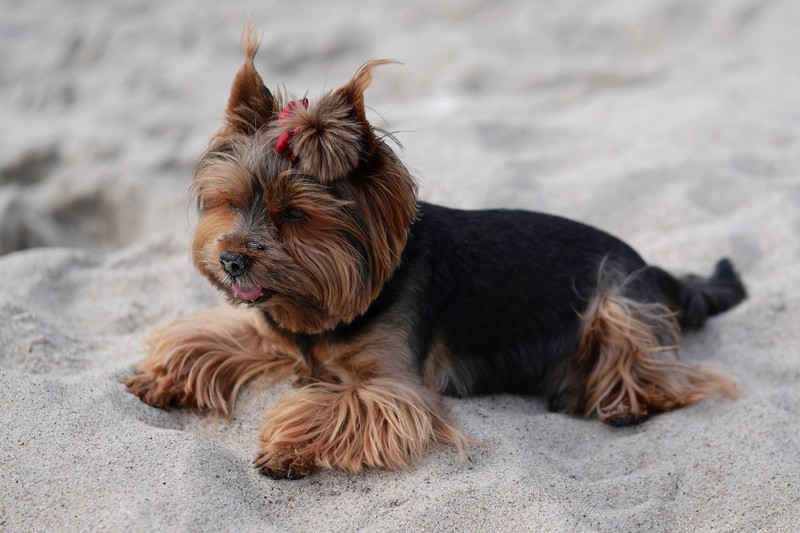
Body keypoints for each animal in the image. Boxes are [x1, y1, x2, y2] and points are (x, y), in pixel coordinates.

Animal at [123, 27, 744, 480]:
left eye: (294, 215)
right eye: (229, 203)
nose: (231, 260)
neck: (350, 297)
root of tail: (655, 268)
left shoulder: (396, 387)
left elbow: (343, 404)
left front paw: (287, 448)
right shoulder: (281, 330)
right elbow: (212, 337)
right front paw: (164, 375)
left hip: (617, 298)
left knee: (669, 371)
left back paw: (623, 402)